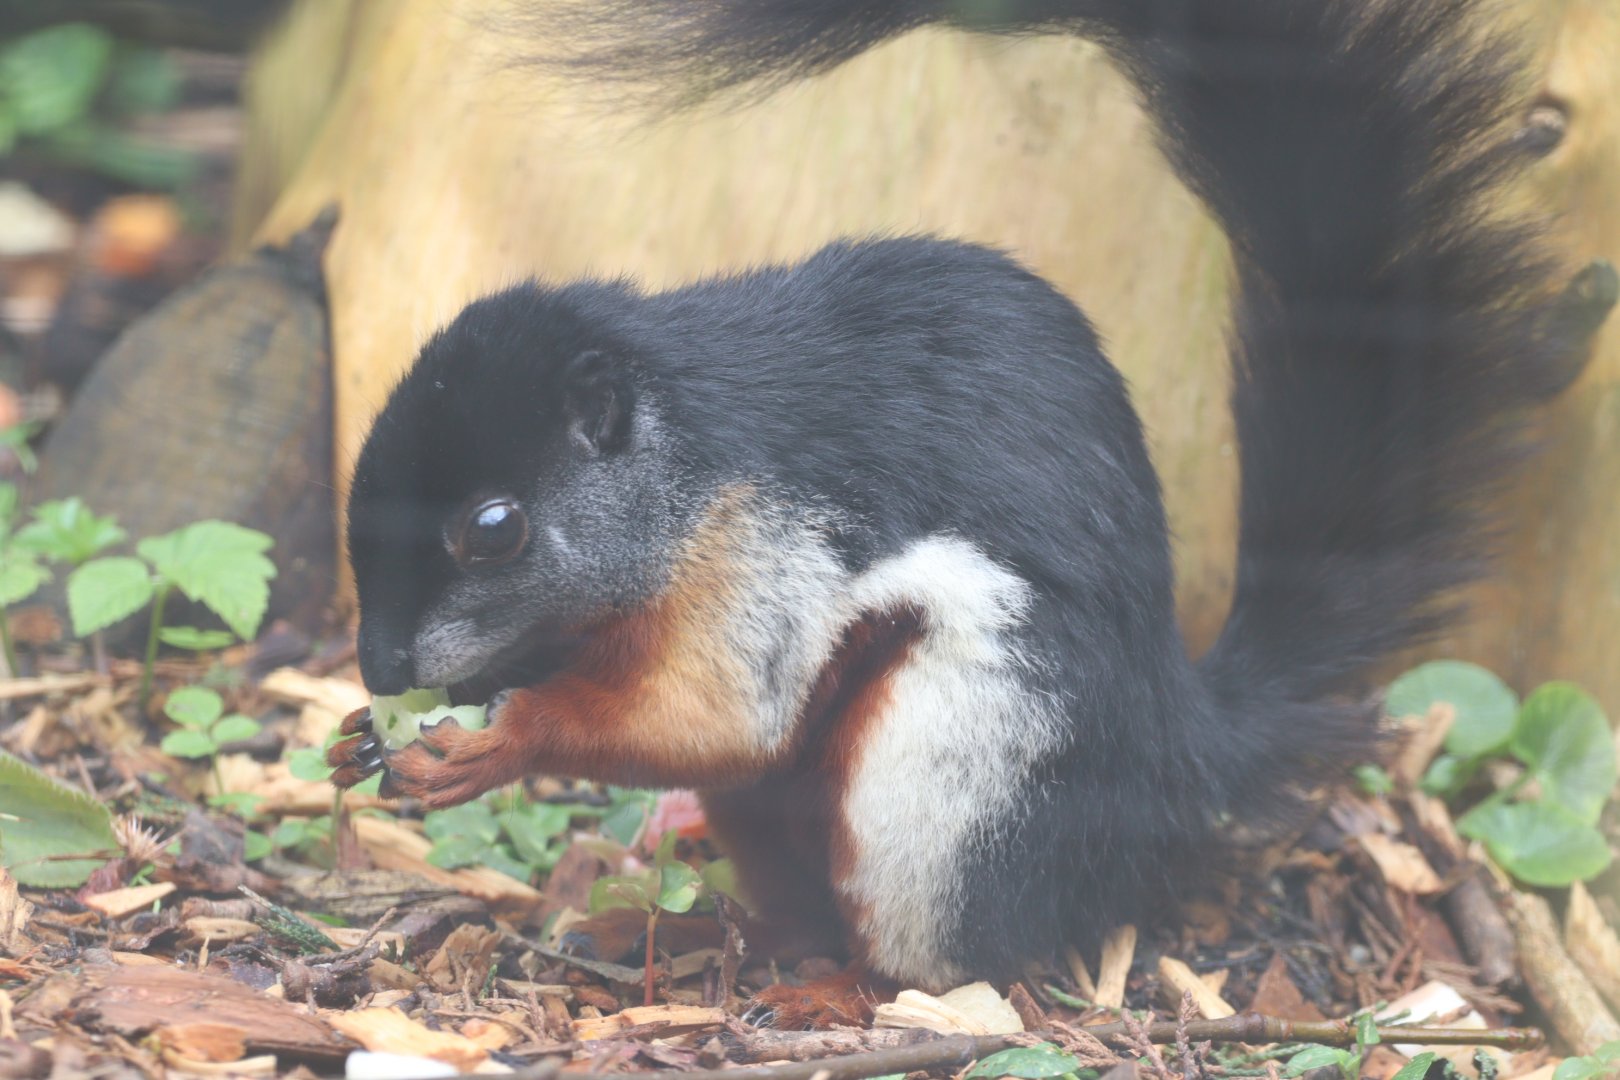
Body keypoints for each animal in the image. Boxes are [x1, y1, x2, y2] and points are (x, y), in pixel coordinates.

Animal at [328, 0, 1613, 1028]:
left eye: (494, 526)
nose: (381, 663)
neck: (686, 464)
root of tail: (1179, 753)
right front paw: (368, 738)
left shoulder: (768, 558)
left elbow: (716, 717)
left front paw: (498, 741)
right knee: (791, 887)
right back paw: (690, 932)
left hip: (946, 770)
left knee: (935, 957)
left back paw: (839, 993)